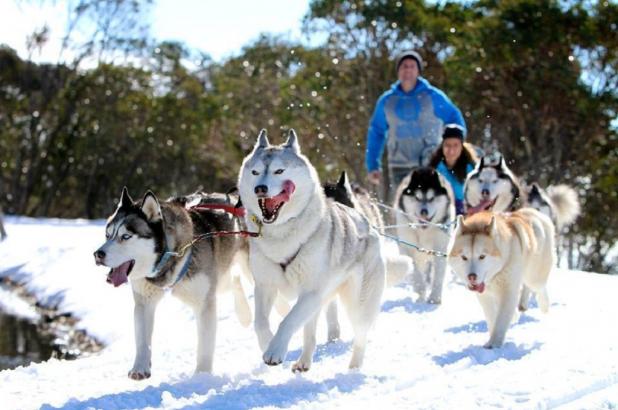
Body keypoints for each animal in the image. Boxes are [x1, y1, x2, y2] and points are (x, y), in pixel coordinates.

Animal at [92, 188, 250, 378]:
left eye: (126, 236)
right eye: (107, 235)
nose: (97, 254)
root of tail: (234, 197)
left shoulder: (205, 303)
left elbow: (205, 346)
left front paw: (202, 376)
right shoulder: (144, 302)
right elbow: (142, 340)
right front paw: (140, 367)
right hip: (220, 277)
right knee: (235, 281)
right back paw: (245, 315)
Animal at [237, 129, 384, 372]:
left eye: (279, 170)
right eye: (256, 172)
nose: (260, 189)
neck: (282, 234)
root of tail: (364, 221)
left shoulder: (311, 292)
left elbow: (287, 321)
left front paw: (275, 350)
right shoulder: (265, 286)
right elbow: (260, 323)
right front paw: (268, 343)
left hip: (357, 303)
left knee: (361, 335)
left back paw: (354, 367)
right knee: (310, 332)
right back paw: (304, 361)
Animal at [392, 167, 454, 304]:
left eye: (431, 198)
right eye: (417, 197)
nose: (423, 211)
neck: (423, 231)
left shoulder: (440, 248)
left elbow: (438, 274)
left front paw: (435, 297)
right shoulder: (408, 248)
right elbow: (416, 272)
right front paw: (420, 291)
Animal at [448, 210, 552, 348]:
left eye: (482, 256)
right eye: (464, 257)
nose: (471, 276)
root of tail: (531, 212)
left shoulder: (508, 290)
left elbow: (501, 318)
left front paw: (494, 343)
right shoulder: (485, 296)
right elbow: (492, 316)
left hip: (534, 275)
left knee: (539, 287)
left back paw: (544, 306)